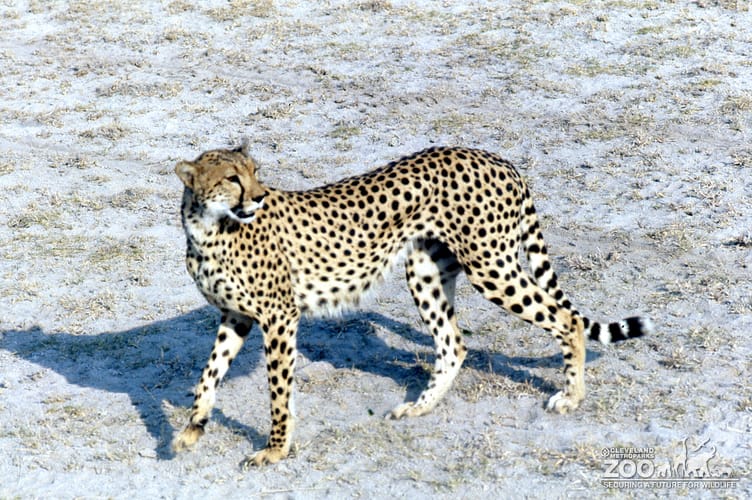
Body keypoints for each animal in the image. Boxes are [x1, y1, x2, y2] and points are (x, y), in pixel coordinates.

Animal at [172, 141, 652, 466]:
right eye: (231, 177)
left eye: (254, 172)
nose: (258, 197)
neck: (209, 228)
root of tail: (496, 158)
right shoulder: (236, 317)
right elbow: (208, 375)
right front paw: (191, 430)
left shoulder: (279, 316)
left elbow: (278, 391)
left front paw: (274, 450)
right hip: (425, 270)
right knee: (454, 343)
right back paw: (420, 406)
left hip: (490, 266)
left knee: (567, 320)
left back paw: (570, 396)